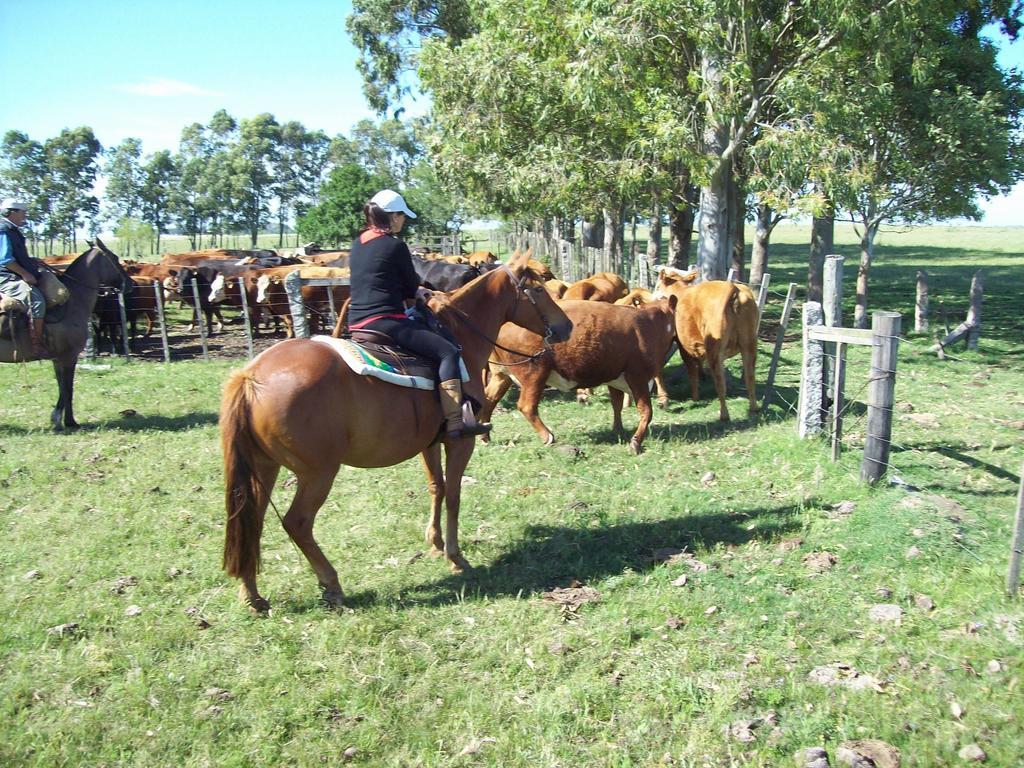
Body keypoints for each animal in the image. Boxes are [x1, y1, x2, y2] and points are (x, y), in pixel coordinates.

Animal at [0, 239, 132, 430]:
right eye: (114, 258)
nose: (130, 284)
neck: (72, 303)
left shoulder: (58, 359)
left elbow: (62, 386)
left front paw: (62, 419)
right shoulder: (70, 357)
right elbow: (68, 388)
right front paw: (66, 421)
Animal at [220, 250, 573, 614]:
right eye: (539, 288)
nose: (566, 326)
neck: (459, 335)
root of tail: (250, 377)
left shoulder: (429, 442)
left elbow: (436, 487)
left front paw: (435, 542)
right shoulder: (460, 441)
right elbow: (454, 493)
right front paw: (455, 556)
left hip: (264, 467)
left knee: (250, 518)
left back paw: (252, 595)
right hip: (317, 474)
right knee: (297, 523)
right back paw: (331, 584)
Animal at [479, 299, 679, 456]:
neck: (651, 323)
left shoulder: (614, 377)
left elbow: (617, 404)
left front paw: (618, 431)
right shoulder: (638, 375)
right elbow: (646, 410)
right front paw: (636, 442)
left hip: (501, 375)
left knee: (488, 400)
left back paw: (485, 436)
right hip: (534, 374)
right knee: (526, 406)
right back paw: (548, 436)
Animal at [655, 268, 761, 423]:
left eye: (657, 286)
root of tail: (734, 288)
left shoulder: (683, 345)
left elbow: (691, 371)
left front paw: (695, 398)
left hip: (715, 348)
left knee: (720, 382)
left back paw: (724, 415)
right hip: (749, 344)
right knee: (750, 377)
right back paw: (753, 408)